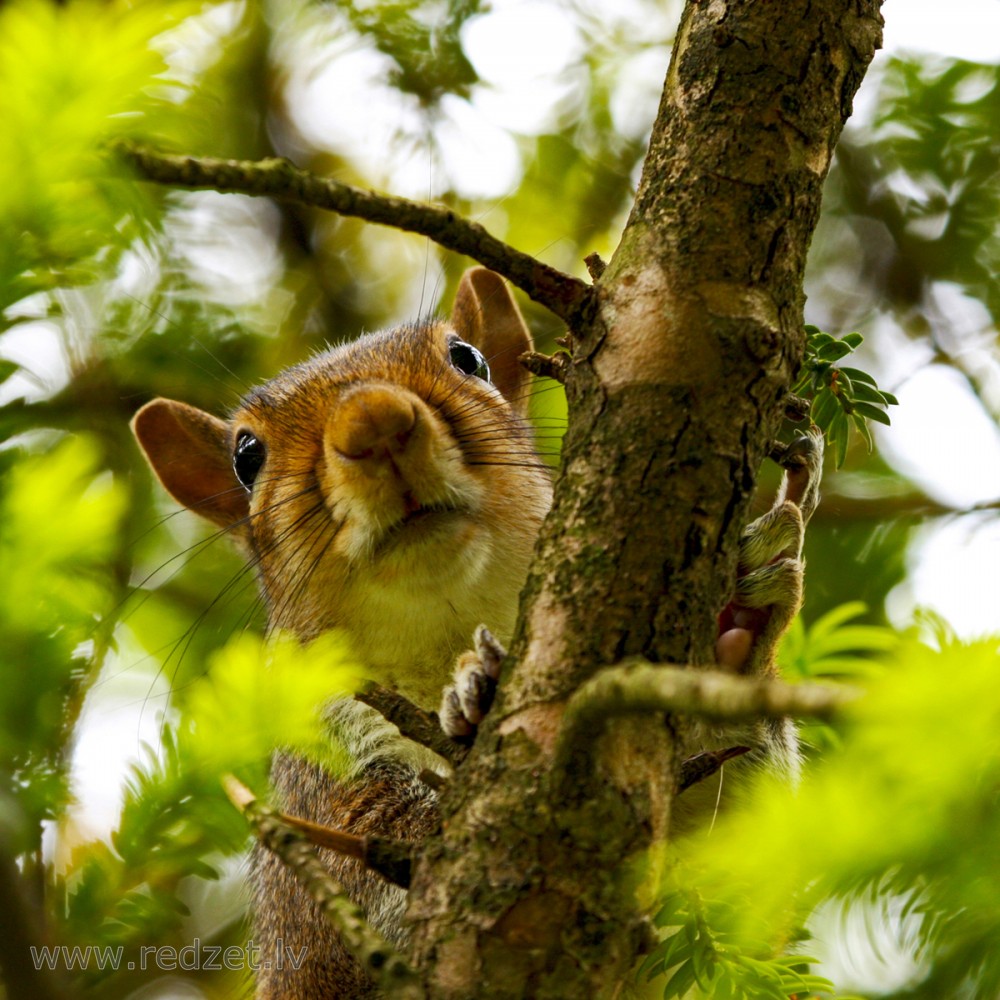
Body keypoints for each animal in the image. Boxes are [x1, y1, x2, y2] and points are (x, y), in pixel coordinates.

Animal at [129, 268, 824, 1000]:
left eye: (469, 359)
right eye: (246, 456)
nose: (374, 420)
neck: (448, 628)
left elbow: (728, 899)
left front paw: (735, 631)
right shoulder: (323, 778)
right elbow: (396, 879)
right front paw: (479, 692)